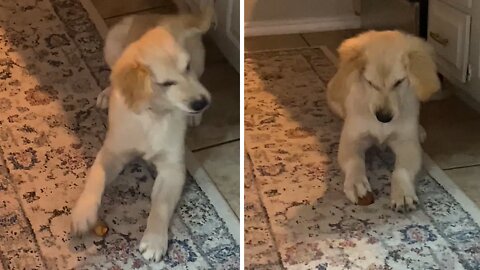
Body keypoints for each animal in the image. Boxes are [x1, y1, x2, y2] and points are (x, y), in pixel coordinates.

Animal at [71, 8, 212, 262]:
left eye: (186, 68)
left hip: (200, 56)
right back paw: (107, 93)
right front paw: (82, 212)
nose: (202, 103)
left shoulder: (172, 167)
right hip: (113, 43)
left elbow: (161, 204)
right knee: (113, 75)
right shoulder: (113, 151)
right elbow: (96, 176)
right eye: (167, 83)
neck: (153, 114)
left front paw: (154, 240)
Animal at [326, 30, 438, 212]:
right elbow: (354, 161)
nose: (384, 117)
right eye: (371, 83)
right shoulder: (352, 140)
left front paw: (403, 194)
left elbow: (401, 170)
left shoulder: (407, 143)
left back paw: (420, 130)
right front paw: (357, 184)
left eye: (399, 82)